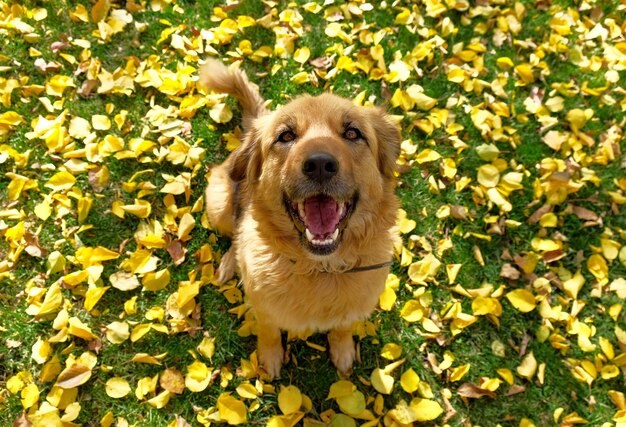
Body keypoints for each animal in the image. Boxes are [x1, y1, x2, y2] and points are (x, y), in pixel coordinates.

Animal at [200, 59, 400, 378]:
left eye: (352, 133)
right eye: (286, 136)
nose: (319, 164)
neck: (320, 269)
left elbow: (344, 327)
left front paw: (343, 351)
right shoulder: (264, 309)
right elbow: (268, 333)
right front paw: (269, 360)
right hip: (218, 204)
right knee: (235, 230)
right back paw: (231, 261)